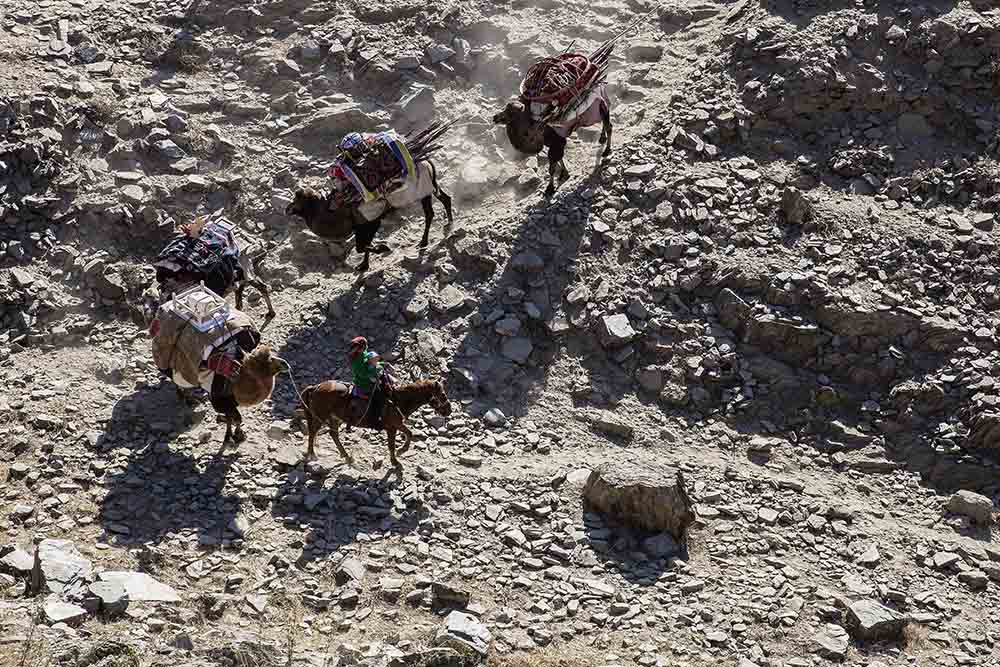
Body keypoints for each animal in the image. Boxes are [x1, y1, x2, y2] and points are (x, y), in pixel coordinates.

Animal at [296, 378, 454, 472]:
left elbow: (409, 433)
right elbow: (392, 444)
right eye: (443, 395)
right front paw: (396, 459)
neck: (398, 400)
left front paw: (401, 451)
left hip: (335, 418)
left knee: (333, 434)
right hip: (321, 416)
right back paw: (312, 455)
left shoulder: (397, 424)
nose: (449, 410)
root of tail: (315, 387)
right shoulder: (392, 426)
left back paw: (347, 457)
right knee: (313, 432)